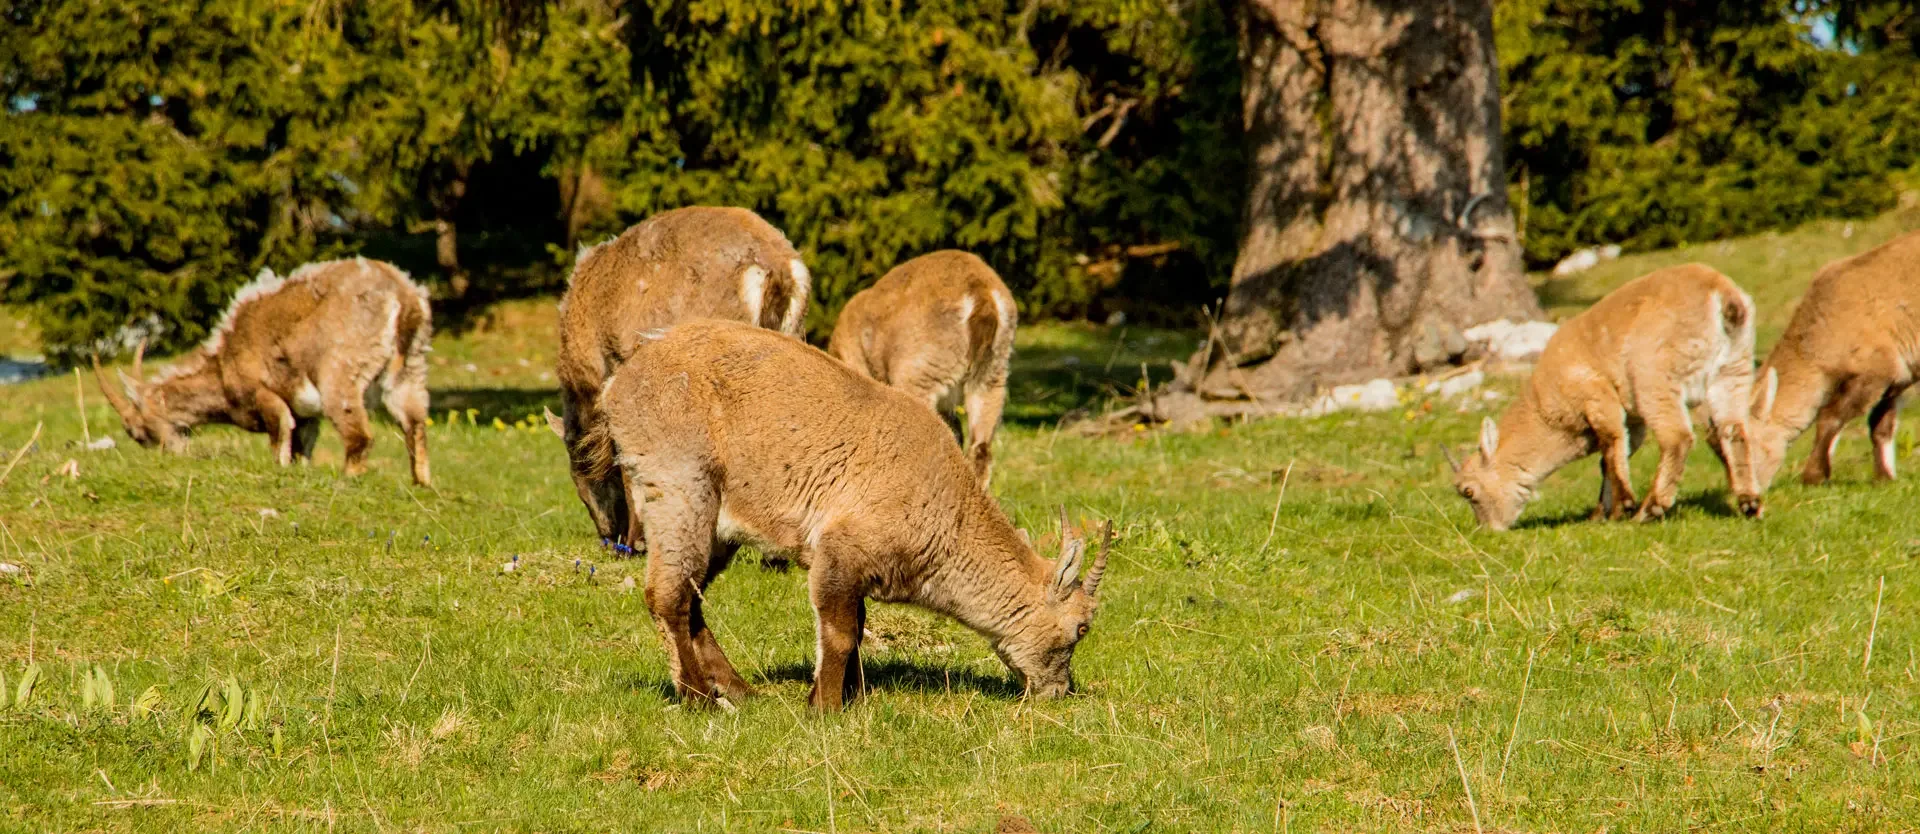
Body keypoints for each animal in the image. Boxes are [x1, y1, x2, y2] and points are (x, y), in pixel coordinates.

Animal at [94, 257, 432, 485]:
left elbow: (279, 437)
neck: (223, 365)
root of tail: (404, 298)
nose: (166, 456)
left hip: (340, 374)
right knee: (415, 423)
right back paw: (421, 483)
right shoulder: (306, 415)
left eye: (137, 431)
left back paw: (348, 479)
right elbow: (301, 448)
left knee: (359, 436)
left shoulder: (265, 395)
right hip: (411, 370)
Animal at [583, 319, 1110, 711]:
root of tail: (618, 384)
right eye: (1081, 628)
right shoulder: (839, 552)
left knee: (692, 598)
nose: (1059, 691)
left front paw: (843, 695)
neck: (946, 516)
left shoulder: (856, 571)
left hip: (717, 528)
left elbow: (855, 627)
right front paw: (826, 708)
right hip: (680, 487)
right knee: (668, 595)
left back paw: (741, 690)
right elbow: (838, 634)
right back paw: (699, 698)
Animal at [1450, 264, 1761, 529]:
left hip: (1654, 376)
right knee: (1733, 430)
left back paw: (1650, 509)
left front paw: (1622, 506)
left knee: (1677, 437)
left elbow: (1612, 444)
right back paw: (1749, 503)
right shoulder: (1632, 419)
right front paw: (1600, 513)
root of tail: (1722, 294)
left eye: (1468, 490)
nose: (1486, 529)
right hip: (1733, 369)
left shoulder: (1596, 396)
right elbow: (1613, 455)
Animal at [1748, 230, 1920, 487]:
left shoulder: (1876, 370)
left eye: (1742, 441)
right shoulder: (1899, 375)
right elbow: (1881, 425)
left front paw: (1814, 475)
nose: (1742, 492)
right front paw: (1884, 477)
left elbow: (1830, 416)